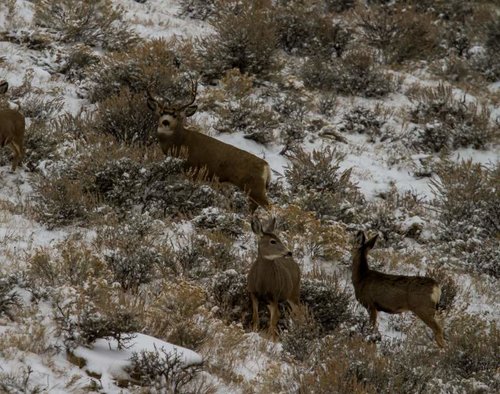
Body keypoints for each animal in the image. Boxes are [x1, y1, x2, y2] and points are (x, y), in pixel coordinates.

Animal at [146, 79, 272, 212]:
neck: (181, 142)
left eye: (176, 115)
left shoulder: (192, 170)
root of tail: (267, 167)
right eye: (160, 113)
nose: (165, 122)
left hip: (255, 188)